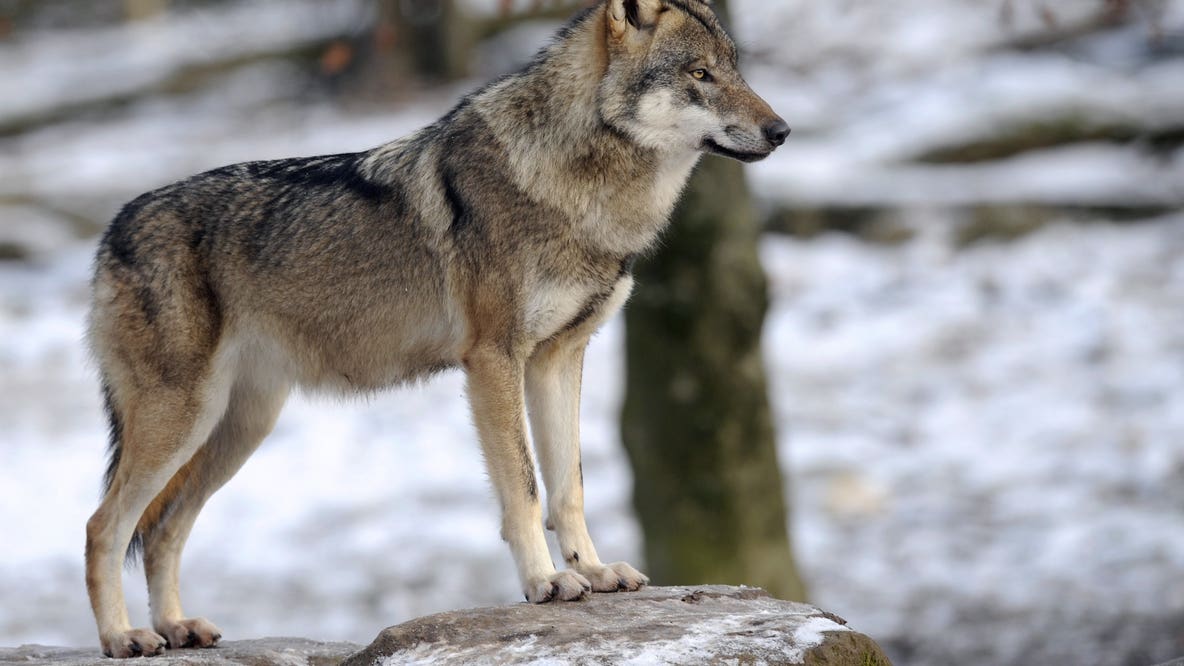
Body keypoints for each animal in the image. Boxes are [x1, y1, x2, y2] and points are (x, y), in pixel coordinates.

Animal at [84, 0, 787, 657]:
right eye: (699, 74)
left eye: (736, 68)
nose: (781, 131)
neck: (576, 185)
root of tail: (112, 230)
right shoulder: (494, 360)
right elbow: (525, 488)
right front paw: (546, 583)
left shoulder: (559, 358)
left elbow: (570, 487)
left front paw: (592, 570)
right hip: (184, 419)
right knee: (104, 527)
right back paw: (125, 638)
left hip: (237, 429)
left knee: (162, 531)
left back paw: (177, 627)